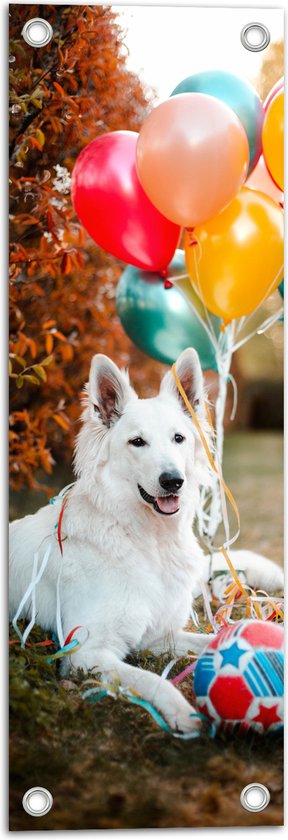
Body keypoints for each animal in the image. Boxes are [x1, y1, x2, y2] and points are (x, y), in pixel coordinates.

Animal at [9, 348, 284, 736]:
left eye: (179, 438)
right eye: (137, 442)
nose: (173, 481)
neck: (149, 543)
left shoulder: (160, 636)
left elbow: (211, 641)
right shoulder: (87, 652)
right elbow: (152, 680)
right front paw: (182, 712)